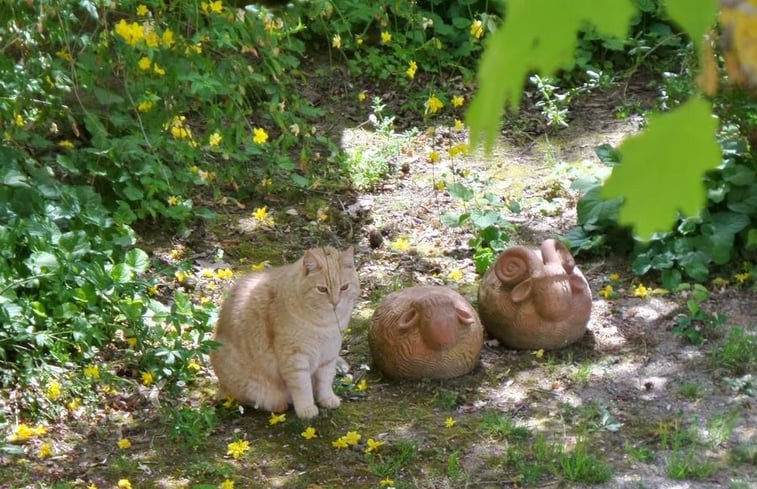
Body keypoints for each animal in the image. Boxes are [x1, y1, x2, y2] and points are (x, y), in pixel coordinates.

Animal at [208, 246, 358, 418]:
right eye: (322, 289)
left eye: (344, 287)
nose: (335, 302)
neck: (326, 324)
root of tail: (221, 387)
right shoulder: (295, 359)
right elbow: (303, 387)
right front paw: (306, 408)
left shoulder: (329, 353)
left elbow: (326, 380)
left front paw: (327, 398)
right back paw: (278, 405)